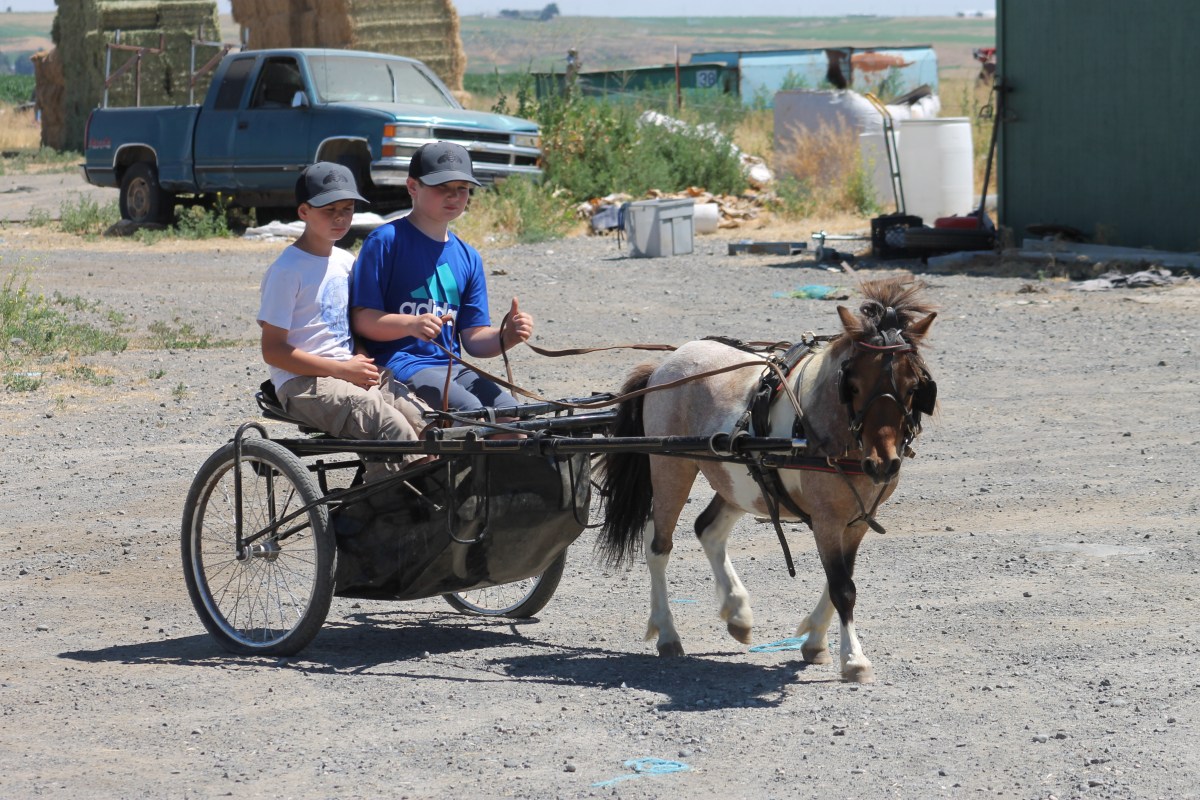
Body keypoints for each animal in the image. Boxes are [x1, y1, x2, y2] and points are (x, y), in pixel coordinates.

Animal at [597, 277, 937, 683]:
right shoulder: (827, 520)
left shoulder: (856, 521)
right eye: (852, 384)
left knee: (707, 529)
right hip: (670, 468)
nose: (882, 465)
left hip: (741, 480)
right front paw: (854, 658)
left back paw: (737, 613)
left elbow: (839, 580)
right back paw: (667, 632)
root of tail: (667, 362)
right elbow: (842, 587)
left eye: (913, 385)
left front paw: (814, 641)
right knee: (658, 545)